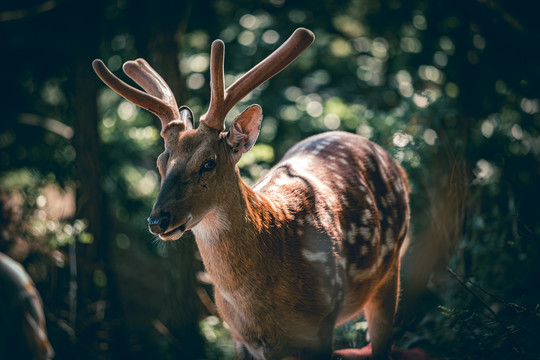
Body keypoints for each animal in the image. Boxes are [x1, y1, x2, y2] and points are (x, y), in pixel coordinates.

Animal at [94, 27, 410, 360]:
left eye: (209, 162)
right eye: (160, 161)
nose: (157, 221)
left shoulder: (322, 325)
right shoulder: (239, 337)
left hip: (390, 273)